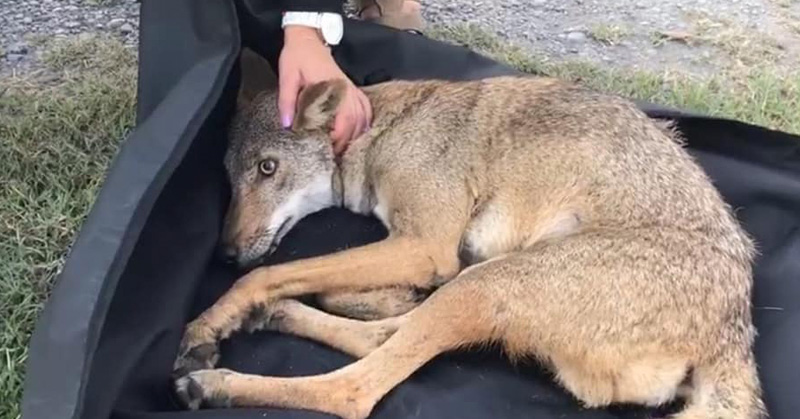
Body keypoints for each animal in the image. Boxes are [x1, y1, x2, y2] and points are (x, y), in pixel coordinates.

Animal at [171, 49, 766, 419]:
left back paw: (218, 384)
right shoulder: (422, 252)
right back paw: (282, 317)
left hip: (489, 282)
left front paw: (210, 321)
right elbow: (316, 281)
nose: (224, 253)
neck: (380, 131)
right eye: (228, 177)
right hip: (482, 284)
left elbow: (272, 272)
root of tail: (735, 337)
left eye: (267, 169)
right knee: (383, 340)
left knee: (355, 390)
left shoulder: (425, 247)